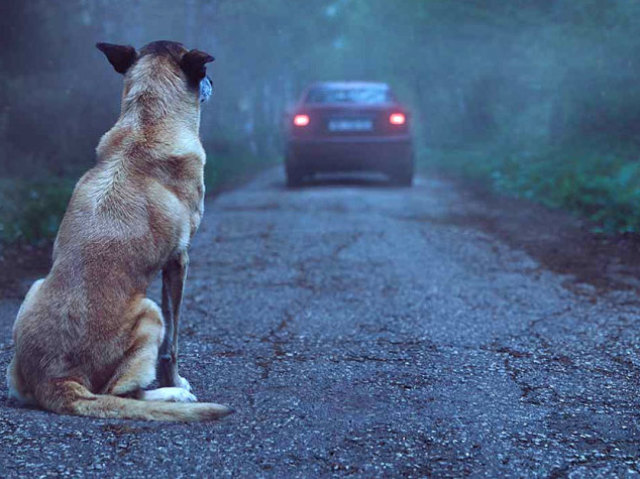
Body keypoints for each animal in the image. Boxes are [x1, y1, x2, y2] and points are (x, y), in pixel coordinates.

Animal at [4, 41, 232, 422]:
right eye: (202, 71)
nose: (213, 81)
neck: (147, 122)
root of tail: (57, 382)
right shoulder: (179, 261)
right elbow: (173, 342)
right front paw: (176, 381)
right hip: (149, 312)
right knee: (121, 391)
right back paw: (173, 396)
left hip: (34, 290)